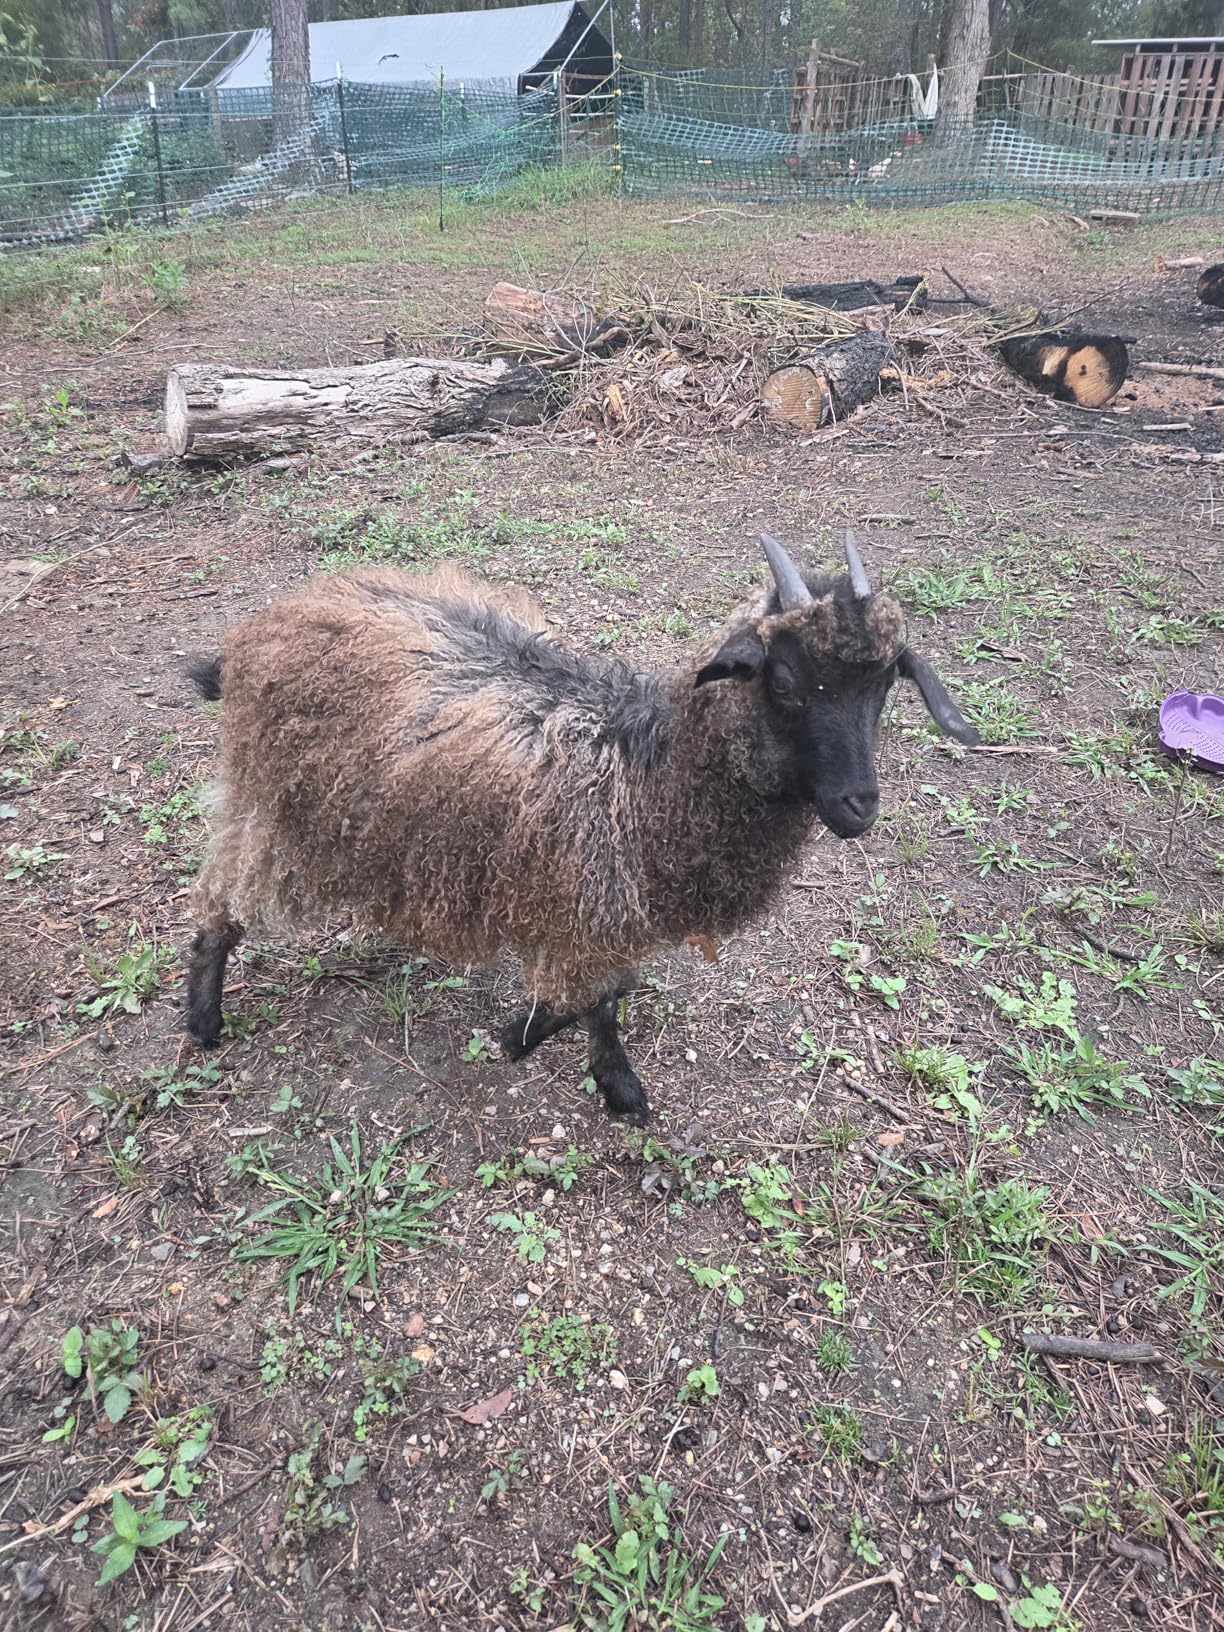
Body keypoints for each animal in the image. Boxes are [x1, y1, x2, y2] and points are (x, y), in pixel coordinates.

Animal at [183, 533, 977, 1124]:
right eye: (783, 683)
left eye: (886, 686)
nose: (858, 806)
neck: (651, 774)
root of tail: (263, 627)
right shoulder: (588, 900)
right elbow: (590, 997)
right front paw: (555, 1052)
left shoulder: (606, 908)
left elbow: (607, 994)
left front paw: (581, 1062)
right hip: (271, 801)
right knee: (220, 897)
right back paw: (203, 1017)